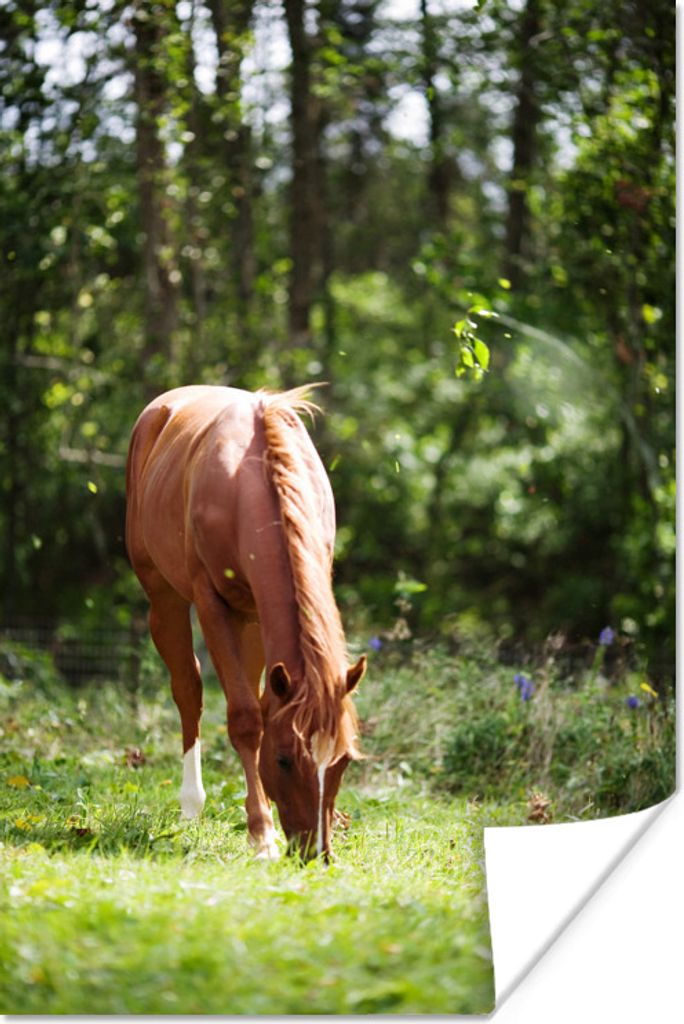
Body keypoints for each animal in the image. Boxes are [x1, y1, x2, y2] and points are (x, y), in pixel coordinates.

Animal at [125, 385, 366, 860]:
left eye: (344, 760)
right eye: (284, 760)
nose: (316, 853)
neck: (250, 484)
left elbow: (259, 707)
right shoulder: (212, 603)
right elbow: (244, 719)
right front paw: (261, 835)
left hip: (253, 619)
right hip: (164, 598)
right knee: (189, 689)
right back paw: (191, 805)